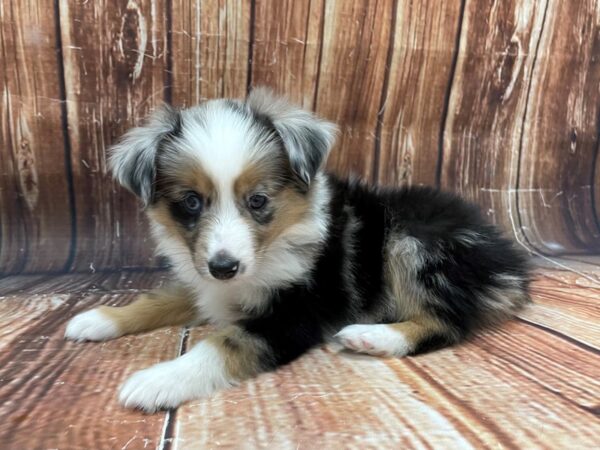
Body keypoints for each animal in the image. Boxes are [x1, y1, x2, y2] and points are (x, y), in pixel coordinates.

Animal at [64, 87, 528, 412]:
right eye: (191, 202)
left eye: (258, 201)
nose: (224, 267)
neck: (270, 250)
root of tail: (510, 263)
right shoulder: (204, 282)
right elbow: (160, 299)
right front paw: (99, 319)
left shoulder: (296, 314)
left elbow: (223, 344)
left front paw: (159, 380)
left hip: (413, 240)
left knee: (448, 322)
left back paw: (372, 337)